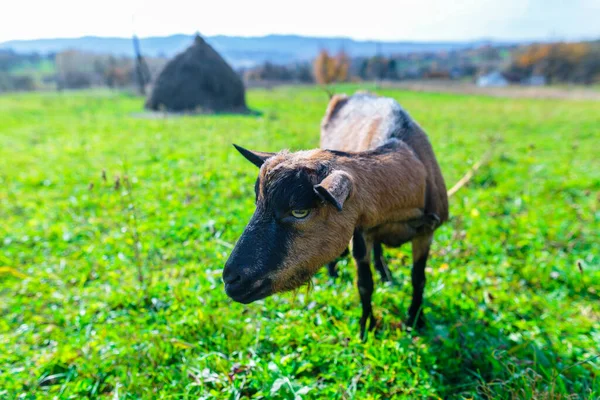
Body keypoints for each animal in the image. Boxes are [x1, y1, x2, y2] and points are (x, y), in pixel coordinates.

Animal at [223, 91, 448, 338]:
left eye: (299, 211)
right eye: (257, 202)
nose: (230, 279)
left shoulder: (426, 232)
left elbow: (418, 279)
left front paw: (415, 320)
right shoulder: (360, 234)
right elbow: (365, 284)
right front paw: (367, 328)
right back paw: (335, 277)